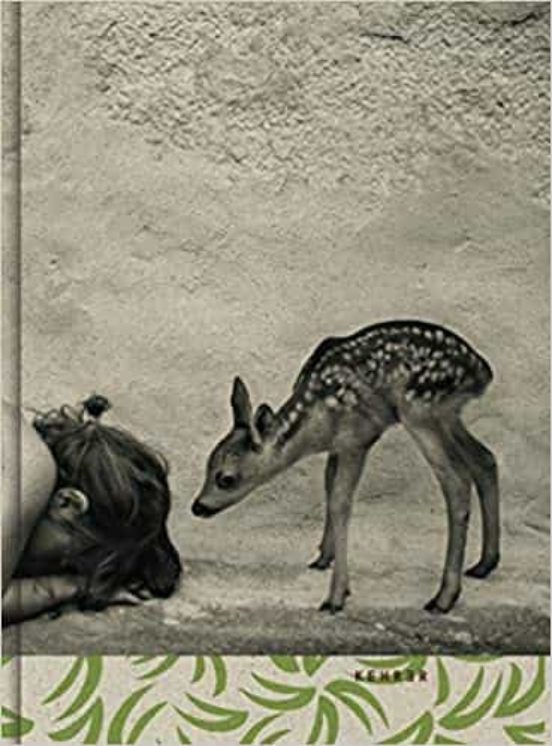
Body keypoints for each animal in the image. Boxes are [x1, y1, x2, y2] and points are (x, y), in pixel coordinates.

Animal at [192, 320, 499, 614]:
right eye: (207, 466)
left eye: (226, 478)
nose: (198, 506)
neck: (315, 423)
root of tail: (482, 371)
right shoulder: (336, 447)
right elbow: (328, 488)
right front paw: (323, 558)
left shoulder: (357, 439)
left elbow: (340, 503)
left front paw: (336, 596)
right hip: (447, 414)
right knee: (484, 459)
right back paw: (484, 564)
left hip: (420, 410)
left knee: (457, 481)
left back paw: (443, 598)